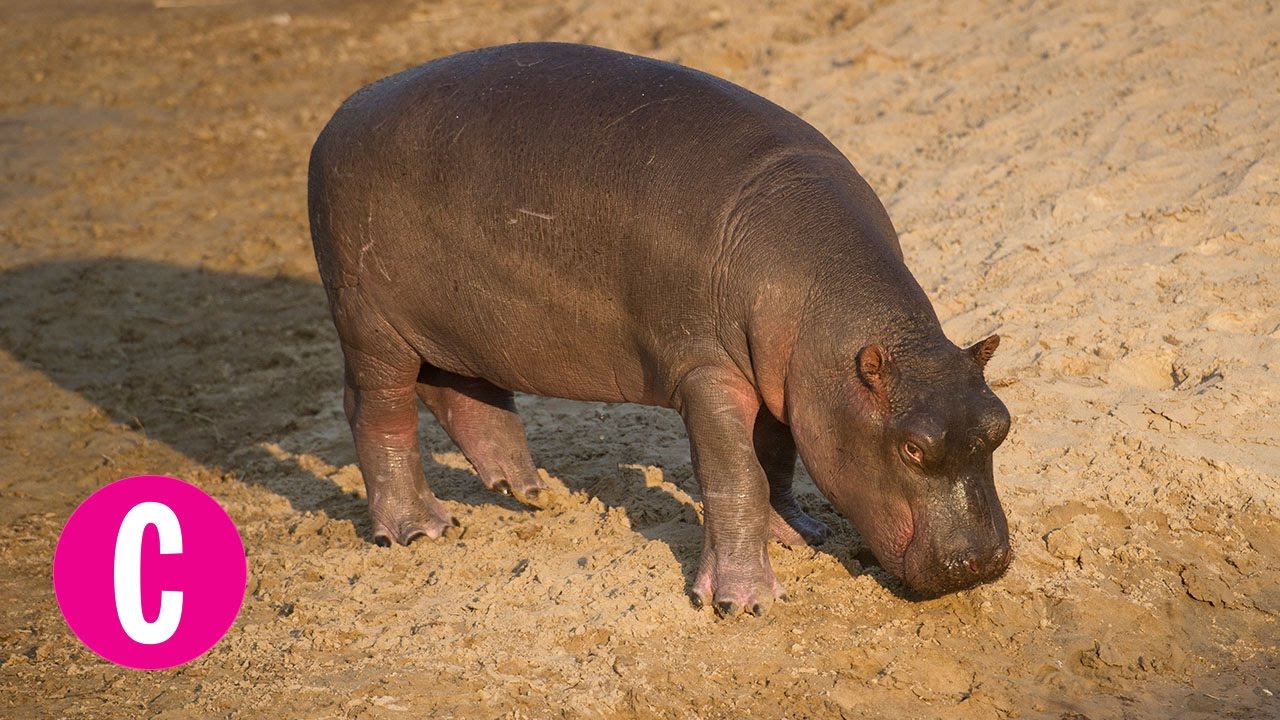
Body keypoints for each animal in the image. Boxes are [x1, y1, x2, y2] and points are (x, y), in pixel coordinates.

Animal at [307, 42, 1012, 616]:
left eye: (1001, 424)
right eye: (912, 447)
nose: (979, 563)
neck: (828, 312)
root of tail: (339, 115)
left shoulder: (781, 377)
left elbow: (775, 458)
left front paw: (797, 532)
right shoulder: (708, 375)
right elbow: (735, 476)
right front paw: (740, 602)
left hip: (466, 324)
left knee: (457, 389)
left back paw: (528, 491)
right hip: (370, 321)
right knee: (380, 411)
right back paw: (418, 528)